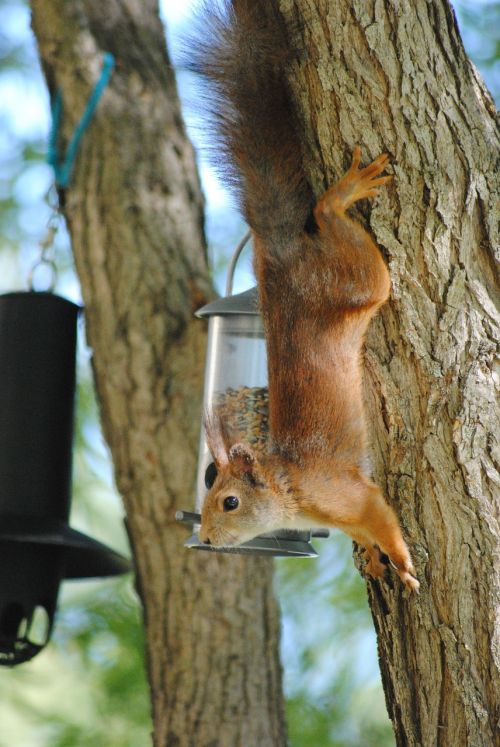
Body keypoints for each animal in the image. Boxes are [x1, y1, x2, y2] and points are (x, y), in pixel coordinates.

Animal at [189, 1, 420, 596]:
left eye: (229, 501)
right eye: (208, 492)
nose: (208, 538)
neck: (291, 487)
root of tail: (281, 255)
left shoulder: (350, 494)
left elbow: (382, 519)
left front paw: (401, 560)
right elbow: (368, 532)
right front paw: (376, 558)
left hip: (360, 282)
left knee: (327, 218)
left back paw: (342, 195)